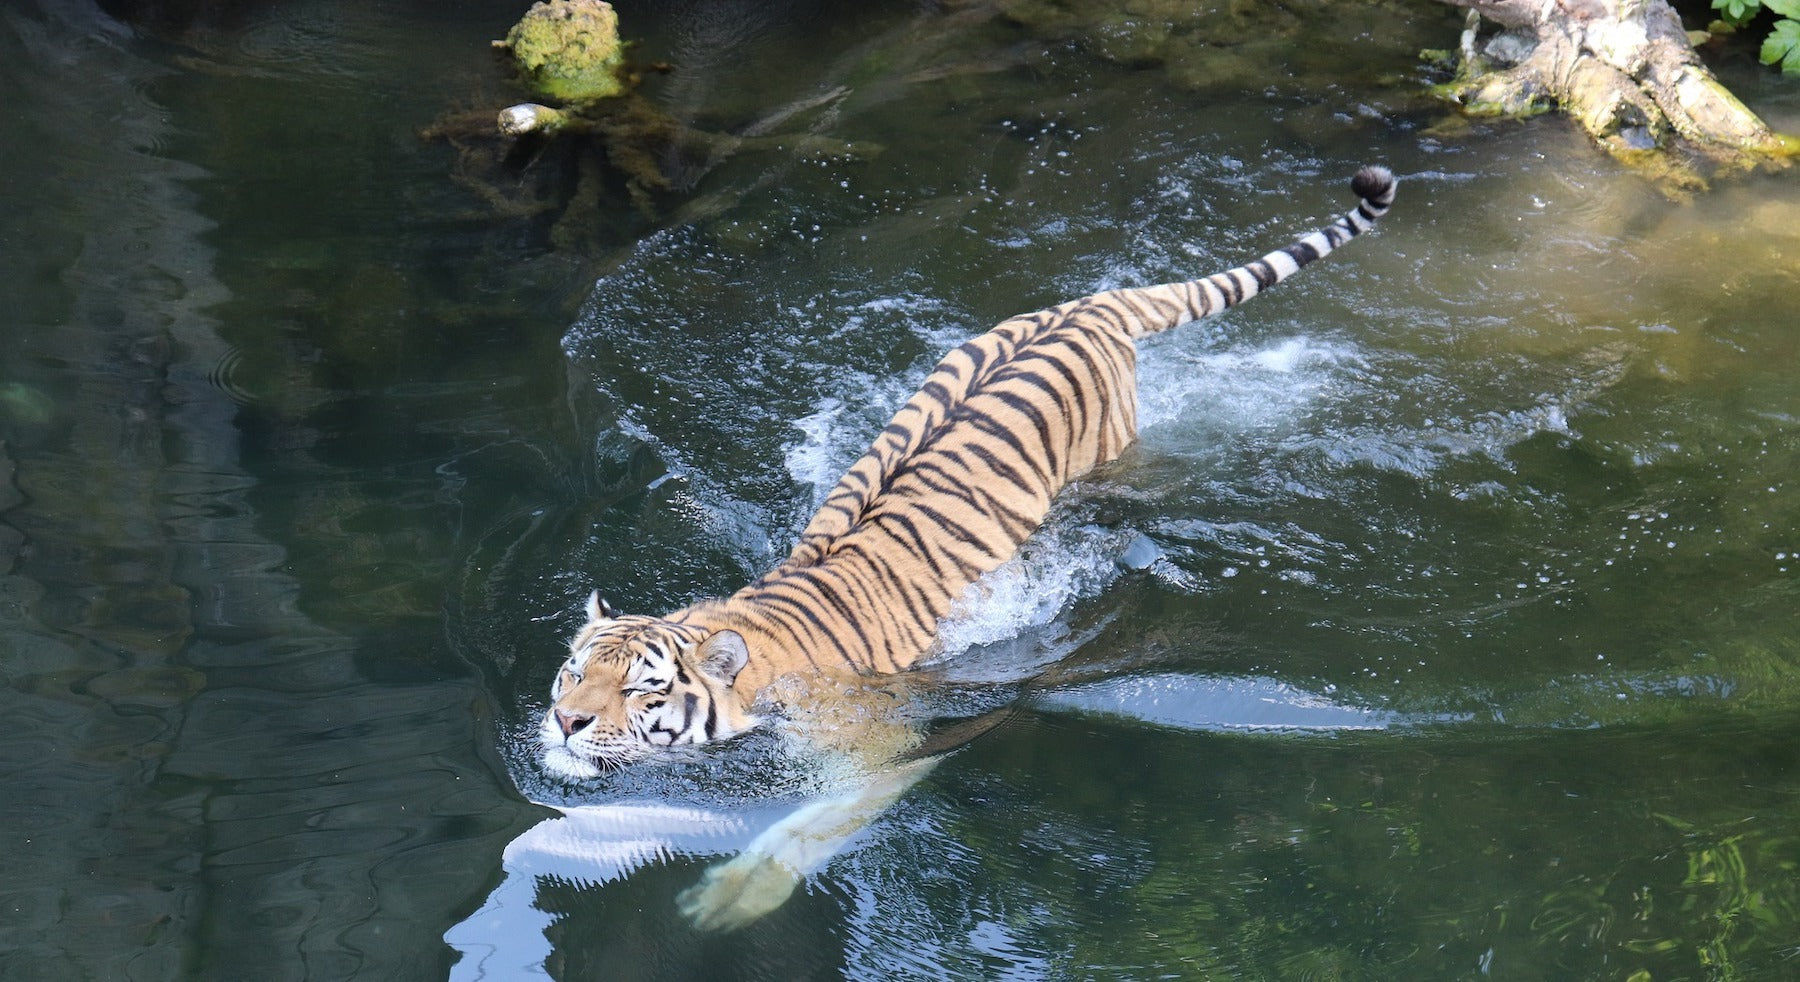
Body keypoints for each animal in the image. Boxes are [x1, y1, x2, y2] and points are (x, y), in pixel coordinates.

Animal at [540, 168, 1396, 928]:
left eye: (642, 691)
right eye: (574, 673)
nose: (566, 723)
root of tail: (1089, 299)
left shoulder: (883, 755)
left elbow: (804, 830)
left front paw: (726, 900)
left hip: (1113, 455)